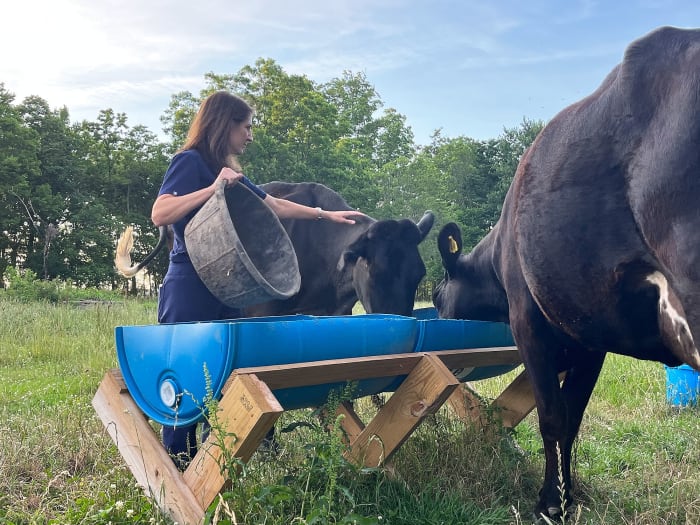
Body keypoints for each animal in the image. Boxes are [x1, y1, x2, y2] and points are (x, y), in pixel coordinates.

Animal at [432, 26, 700, 521]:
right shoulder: (589, 335)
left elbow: (554, 417)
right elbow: (573, 416)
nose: (437, 316)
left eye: (438, 296)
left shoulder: (529, 320)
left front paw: (551, 502)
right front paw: (568, 493)